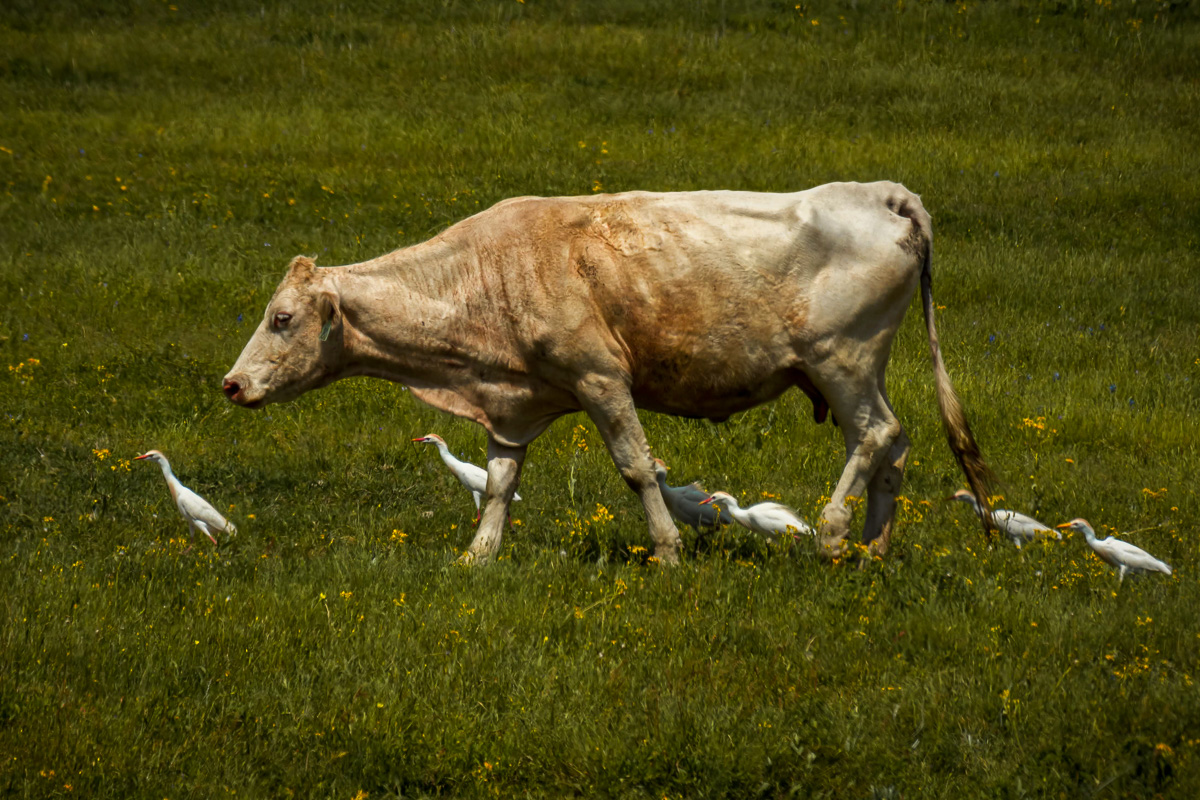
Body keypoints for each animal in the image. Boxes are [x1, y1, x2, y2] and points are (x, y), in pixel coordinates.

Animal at [223, 181, 993, 565]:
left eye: (281, 318)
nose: (231, 384)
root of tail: (883, 193)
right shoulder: (515, 404)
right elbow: (499, 482)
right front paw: (478, 558)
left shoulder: (599, 379)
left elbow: (636, 468)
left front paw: (670, 553)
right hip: (863, 367)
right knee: (895, 445)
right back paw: (872, 552)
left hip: (843, 360)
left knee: (874, 436)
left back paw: (834, 535)